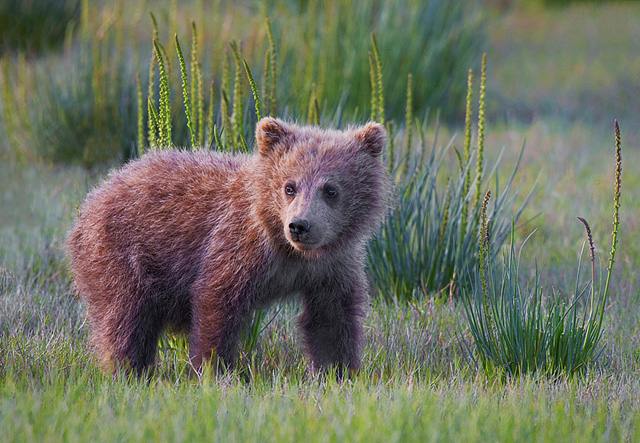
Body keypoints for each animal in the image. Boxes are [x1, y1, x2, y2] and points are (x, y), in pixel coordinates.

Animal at [66, 117, 392, 376]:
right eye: (290, 186)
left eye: (331, 190)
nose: (299, 225)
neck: (291, 255)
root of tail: (96, 193)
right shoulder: (238, 246)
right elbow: (216, 303)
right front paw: (213, 371)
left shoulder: (331, 267)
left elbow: (331, 319)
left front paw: (339, 371)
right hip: (121, 252)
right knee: (125, 317)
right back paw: (128, 370)